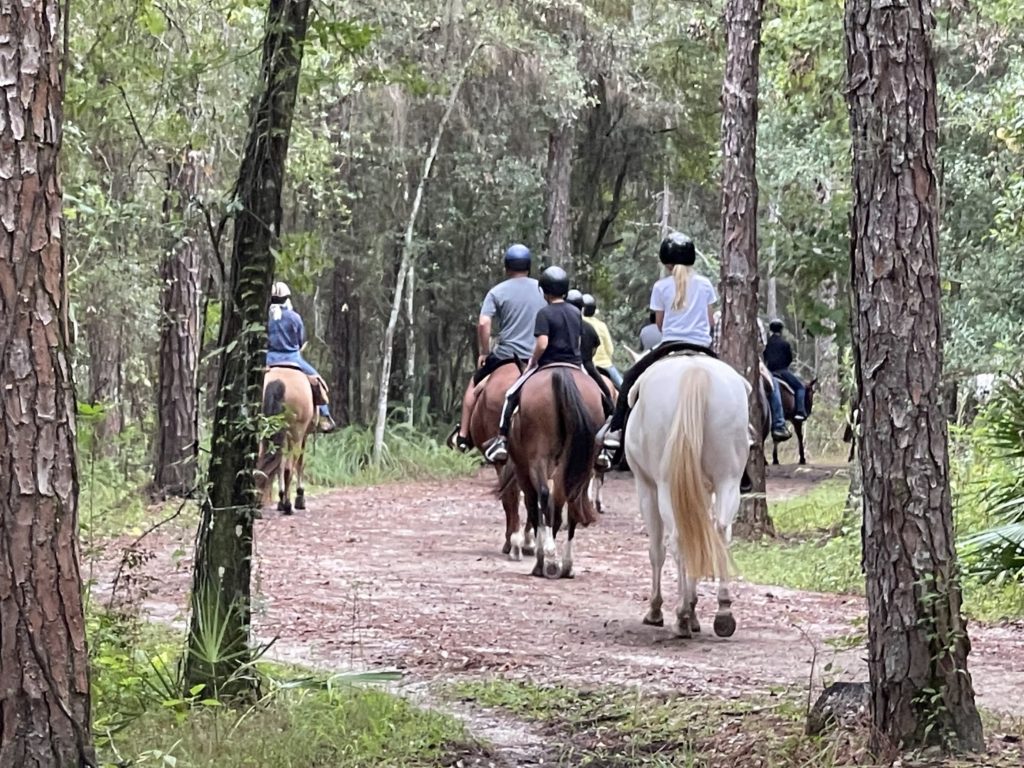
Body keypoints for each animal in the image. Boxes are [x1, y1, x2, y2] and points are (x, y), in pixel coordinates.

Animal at [256, 368, 315, 518]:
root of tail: (276, 382)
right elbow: (298, 464)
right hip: (295, 432)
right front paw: (299, 499)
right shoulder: (302, 435)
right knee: (289, 467)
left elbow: (279, 467)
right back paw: (288, 505)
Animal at [501, 366, 598, 577]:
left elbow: (533, 507)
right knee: (571, 502)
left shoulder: (523, 472)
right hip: (579, 465)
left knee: (543, 497)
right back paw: (566, 565)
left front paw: (537, 553)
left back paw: (548, 558)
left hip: (537, 459)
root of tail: (561, 373)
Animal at [618, 358, 749, 638]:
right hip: (728, 480)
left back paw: (680, 618)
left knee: (677, 540)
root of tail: (695, 370)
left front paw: (658, 610)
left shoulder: (647, 488)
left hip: (665, 487)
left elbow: (657, 551)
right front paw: (694, 610)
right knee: (720, 533)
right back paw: (723, 611)